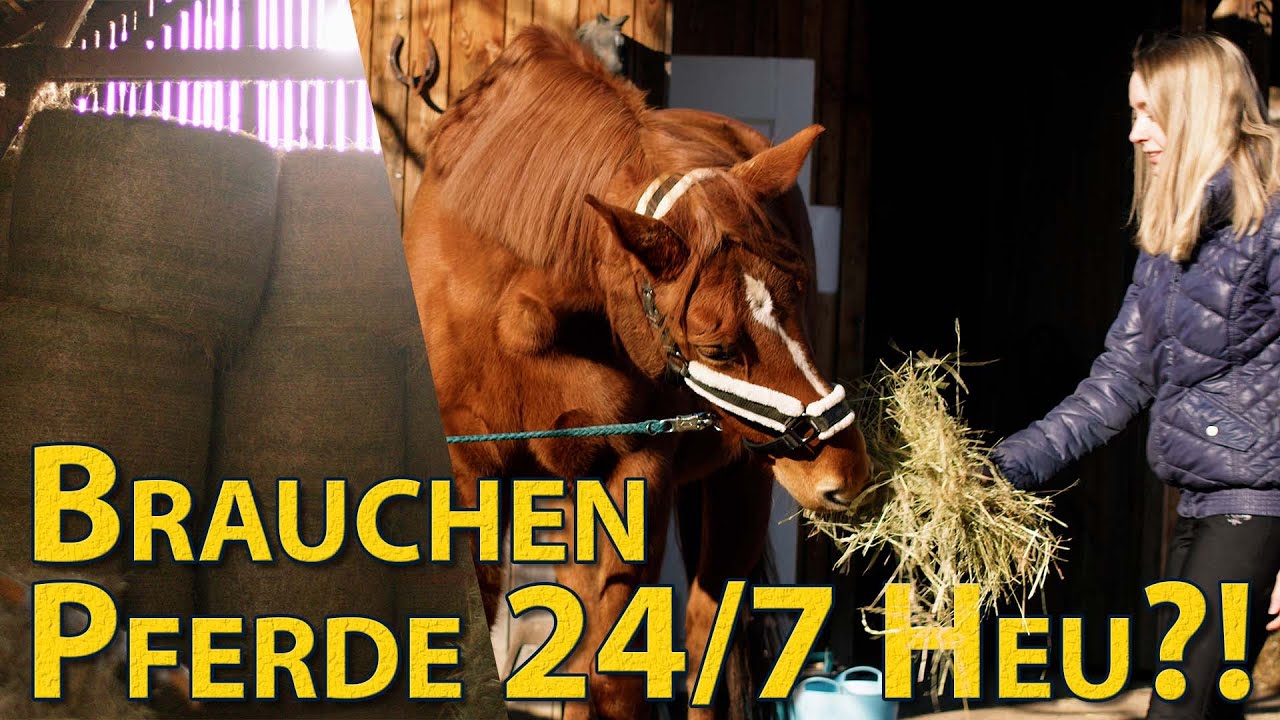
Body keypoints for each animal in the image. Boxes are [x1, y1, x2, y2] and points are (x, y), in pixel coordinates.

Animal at [402, 26, 871, 720]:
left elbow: (619, 680)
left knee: (703, 650)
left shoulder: (636, 470)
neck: (523, 315)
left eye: (801, 300)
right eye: (718, 347)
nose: (847, 472)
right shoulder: (469, 468)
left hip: (739, 486)